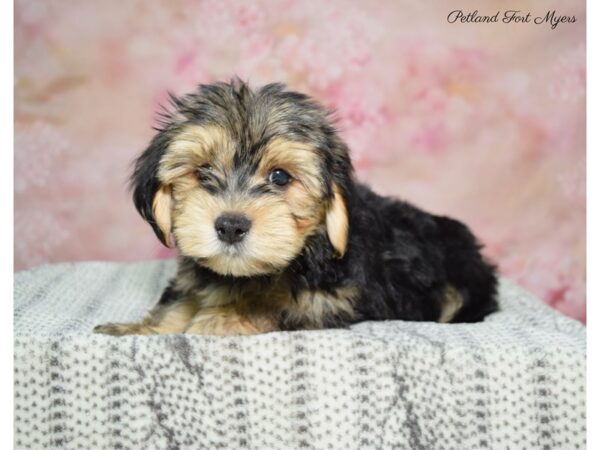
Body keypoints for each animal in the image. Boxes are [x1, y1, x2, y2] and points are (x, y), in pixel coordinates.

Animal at [94, 79, 496, 336]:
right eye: (203, 171)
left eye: (280, 177)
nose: (230, 226)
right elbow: (180, 300)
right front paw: (140, 328)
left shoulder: (338, 298)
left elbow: (278, 304)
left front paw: (221, 317)